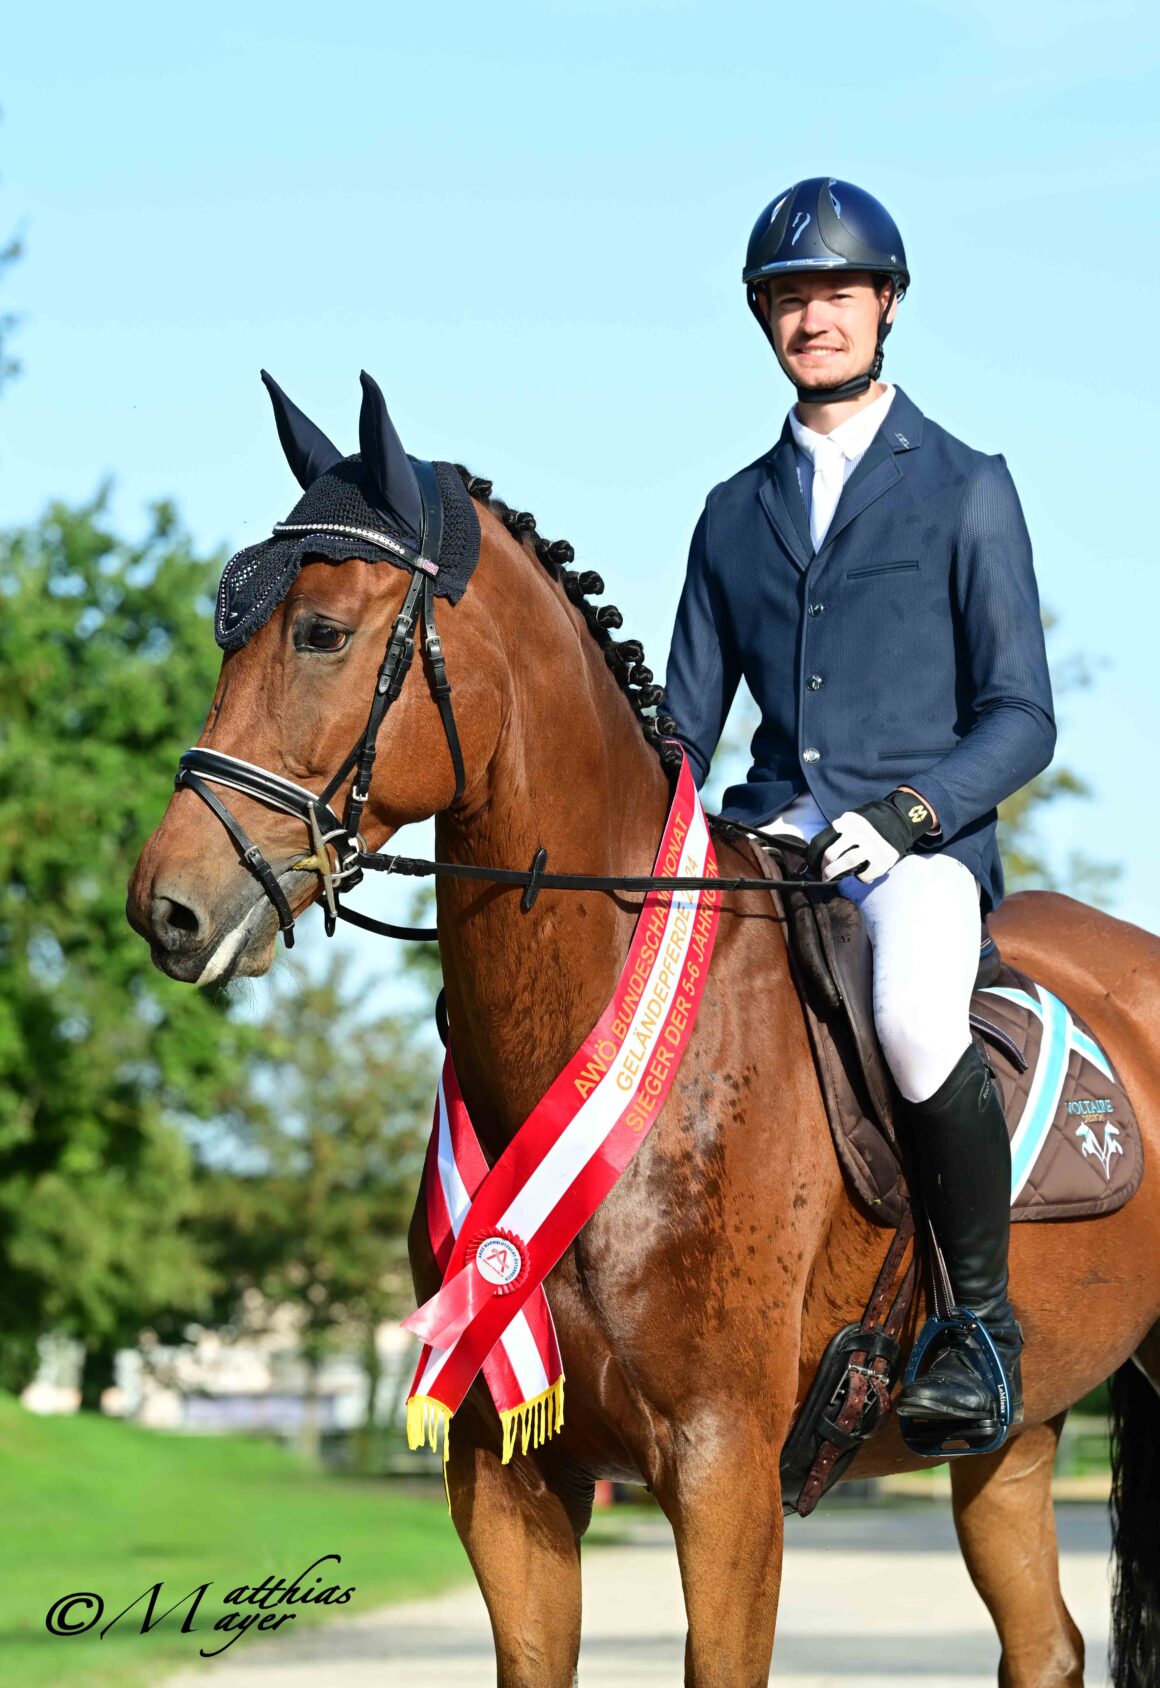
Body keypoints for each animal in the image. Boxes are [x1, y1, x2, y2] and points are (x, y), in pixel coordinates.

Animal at [131, 418, 1160, 1674]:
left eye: (321, 630)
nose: (167, 906)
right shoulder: (506, 1478)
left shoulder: (724, 1468)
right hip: (1016, 1438)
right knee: (1043, 1642)